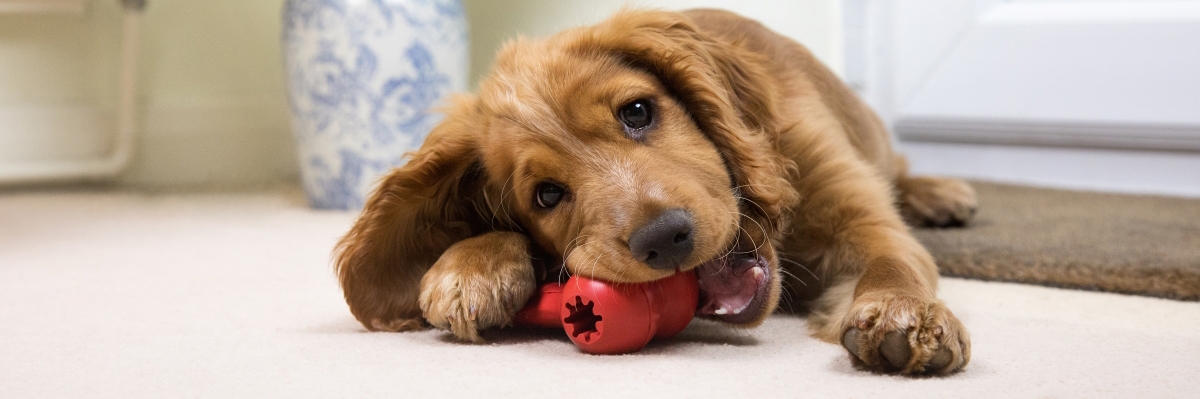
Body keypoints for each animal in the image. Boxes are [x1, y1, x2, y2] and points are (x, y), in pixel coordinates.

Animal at [336, 9, 974, 377]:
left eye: (638, 111)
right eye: (546, 195)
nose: (664, 239)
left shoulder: (857, 213)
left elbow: (893, 259)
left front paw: (908, 314)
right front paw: (469, 266)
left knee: (901, 168)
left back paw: (941, 193)